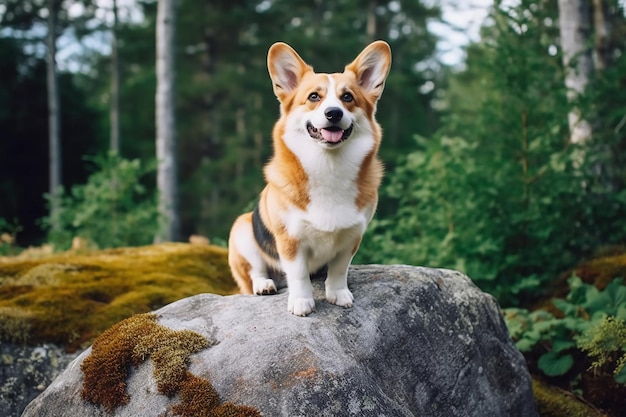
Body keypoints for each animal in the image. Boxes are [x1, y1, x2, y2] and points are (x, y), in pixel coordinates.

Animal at [224, 41, 390, 316]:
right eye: (314, 97)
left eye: (347, 97)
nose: (333, 113)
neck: (328, 165)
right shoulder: (290, 240)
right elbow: (299, 274)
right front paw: (302, 303)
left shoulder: (351, 237)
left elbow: (339, 270)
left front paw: (338, 294)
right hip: (243, 229)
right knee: (255, 271)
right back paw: (264, 285)